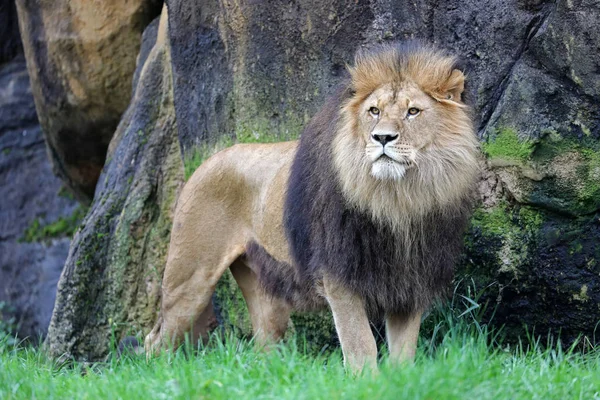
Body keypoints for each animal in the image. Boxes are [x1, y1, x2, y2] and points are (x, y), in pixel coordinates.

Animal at [145, 42, 478, 374]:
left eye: (413, 112)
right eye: (374, 111)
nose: (382, 137)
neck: (397, 201)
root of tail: (207, 161)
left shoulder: (410, 282)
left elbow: (404, 352)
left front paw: (398, 380)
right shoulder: (338, 275)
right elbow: (361, 345)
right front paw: (365, 380)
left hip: (263, 288)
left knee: (264, 341)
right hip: (189, 279)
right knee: (156, 339)